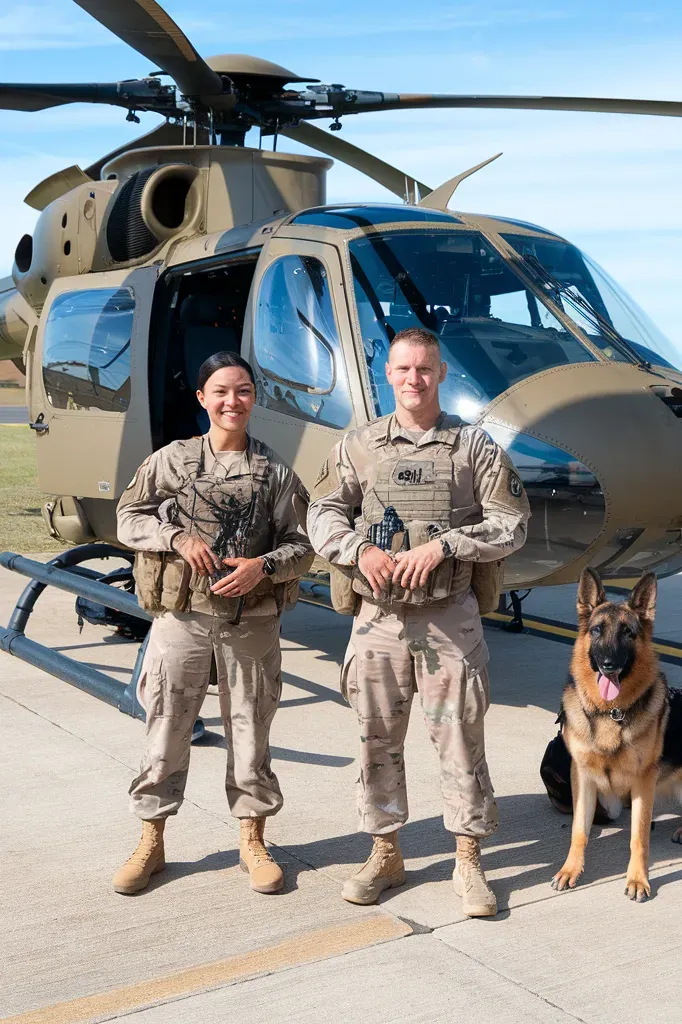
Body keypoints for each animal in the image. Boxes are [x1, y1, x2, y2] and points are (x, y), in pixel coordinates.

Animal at [548, 573, 675, 901]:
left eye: (628, 632)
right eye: (596, 630)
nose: (608, 665)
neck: (611, 712)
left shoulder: (644, 780)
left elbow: (638, 837)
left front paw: (638, 879)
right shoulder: (583, 778)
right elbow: (579, 830)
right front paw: (570, 871)